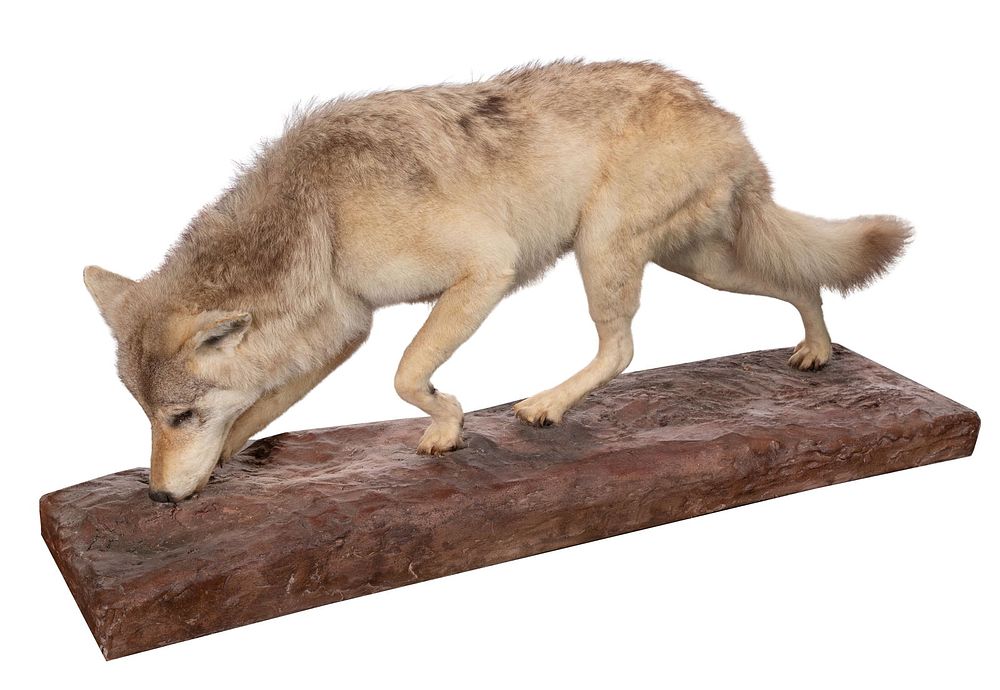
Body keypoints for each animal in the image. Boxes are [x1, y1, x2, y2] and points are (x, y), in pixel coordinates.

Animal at [84, 60, 911, 502]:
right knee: (801, 283)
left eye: (180, 415)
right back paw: (816, 351)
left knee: (624, 348)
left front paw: (447, 425)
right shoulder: (344, 330)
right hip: (697, 261)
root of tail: (725, 115)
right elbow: (262, 411)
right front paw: (223, 467)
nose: (156, 496)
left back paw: (545, 405)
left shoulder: (486, 269)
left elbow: (407, 376)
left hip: (605, 250)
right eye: (151, 416)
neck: (318, 213)